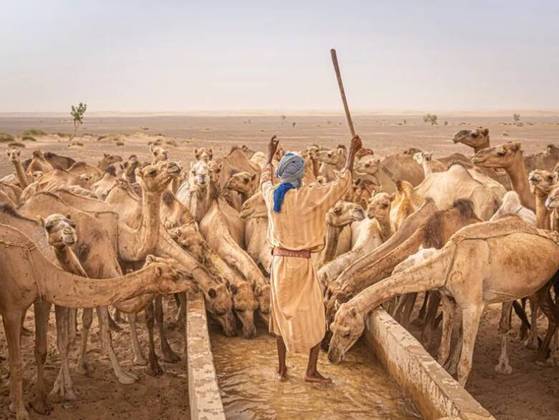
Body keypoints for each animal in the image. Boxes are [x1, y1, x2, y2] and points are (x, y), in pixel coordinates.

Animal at [0, 223, 192, 420]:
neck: (35, 268)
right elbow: (18, 361)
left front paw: (29, 404)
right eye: (175, 274)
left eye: (175, 266)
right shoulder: (11, 309)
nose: (192, 278)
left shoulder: (40, 299)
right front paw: (22, 410)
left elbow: (41, 350)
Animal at [328, 217, 559, 384]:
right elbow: (442, 350)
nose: (331, 356)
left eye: (346, 332)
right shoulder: (449, 300)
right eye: (332, 326)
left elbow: (465, 364)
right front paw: (446, 371)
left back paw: (545, 357)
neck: (449, 262)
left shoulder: (472, 306)